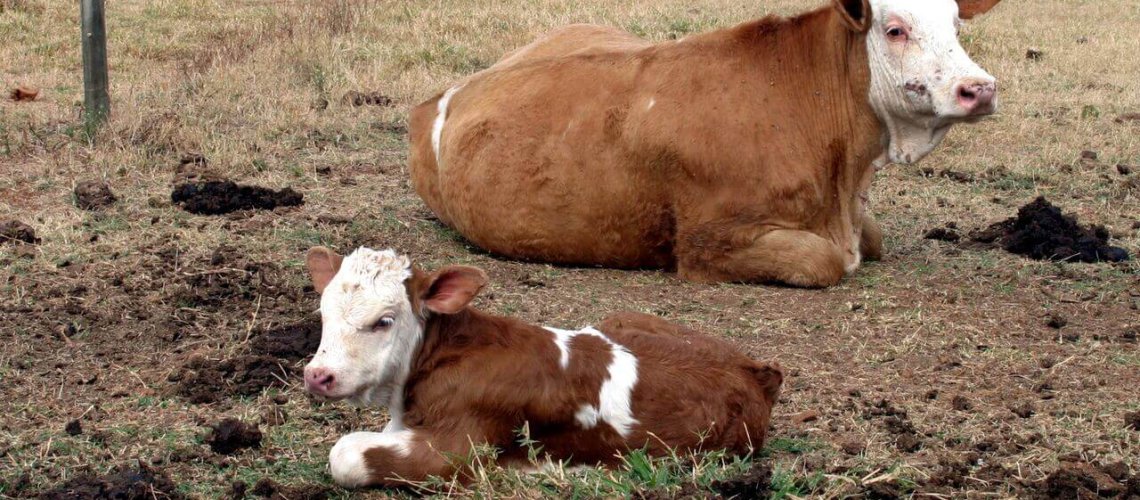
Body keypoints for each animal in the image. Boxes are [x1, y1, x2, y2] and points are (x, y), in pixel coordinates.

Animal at [301, 246, 784, 488]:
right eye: (323, 313)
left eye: (383, 321)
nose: (318, 376)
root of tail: (757, 369)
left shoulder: (463, 446)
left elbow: (346, 454)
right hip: (620, 319)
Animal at [407, 0, 1004, 288]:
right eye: (895, 29)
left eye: (956, 23)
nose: (978, 88)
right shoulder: (708, 242)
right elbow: (822, 260)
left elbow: (873, 237)